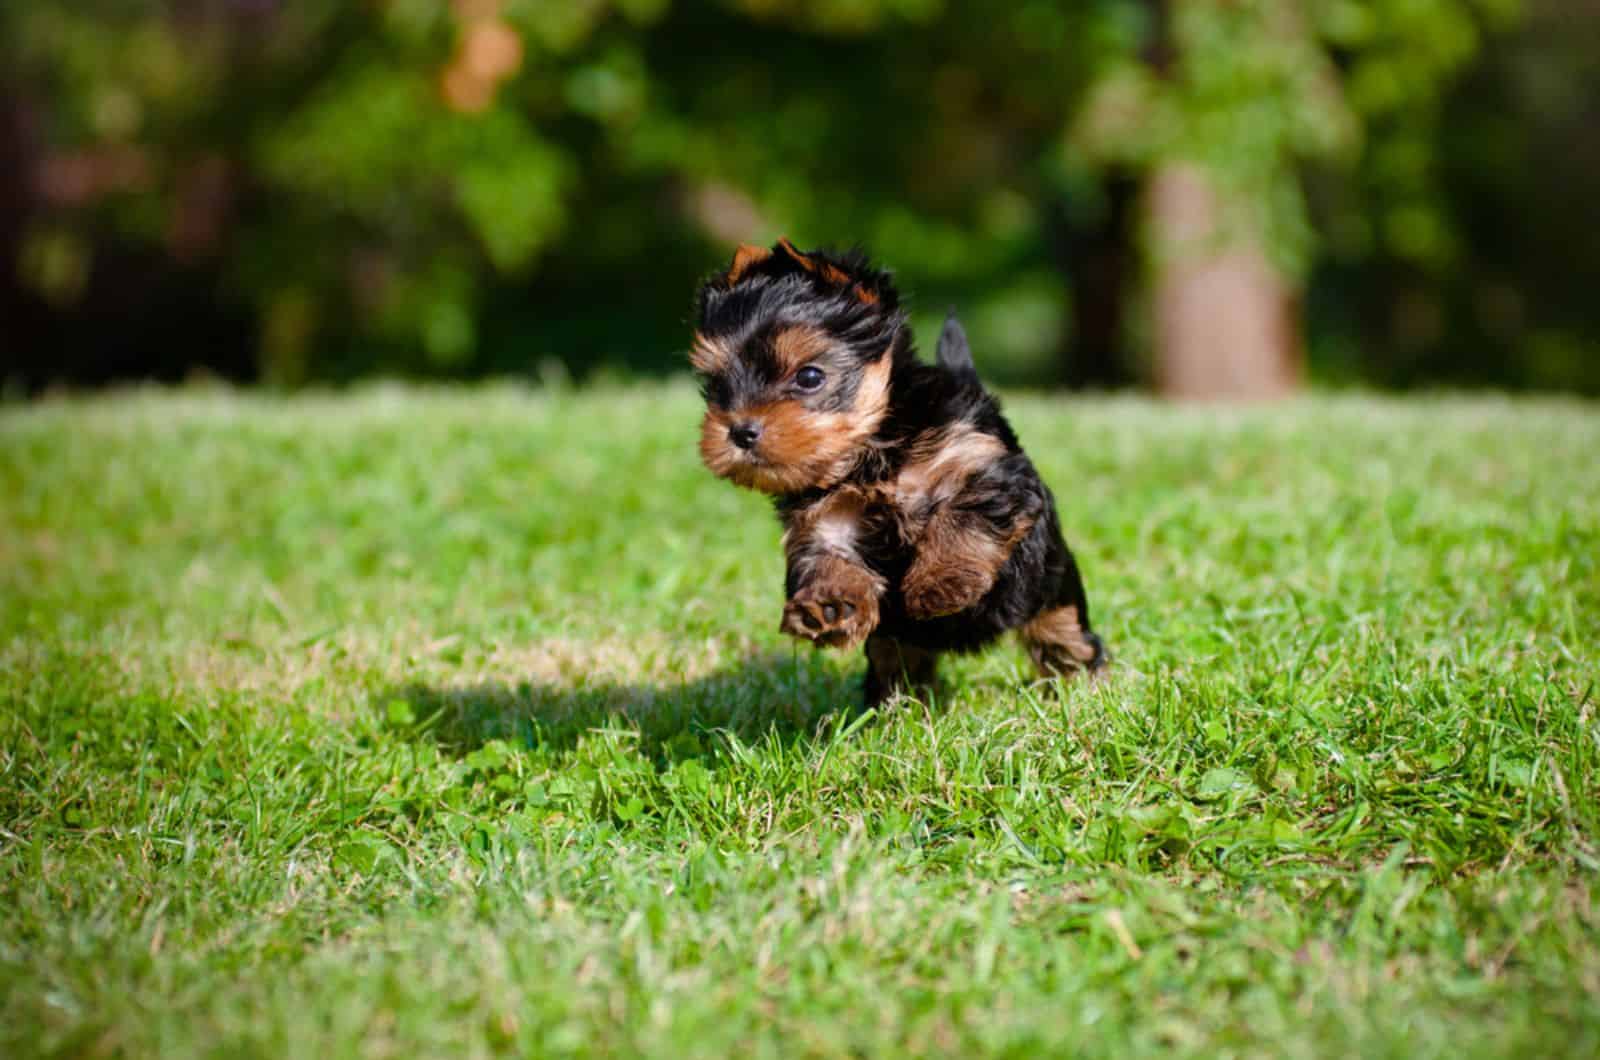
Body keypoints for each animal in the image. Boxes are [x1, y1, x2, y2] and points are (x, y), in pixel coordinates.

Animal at [694, 240, 1107, 704]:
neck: (872, 451)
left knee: (1066, 638)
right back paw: (899, 708)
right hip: (897, 641)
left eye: (810, 376)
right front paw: (827, 606)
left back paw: (1081, 690)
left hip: (1051, 591)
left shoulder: (990, 470)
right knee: (897, 661)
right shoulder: (825, 519)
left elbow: (966, 514)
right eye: (715, 386)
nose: (740, 431)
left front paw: (940, 581)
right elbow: (827, 558)